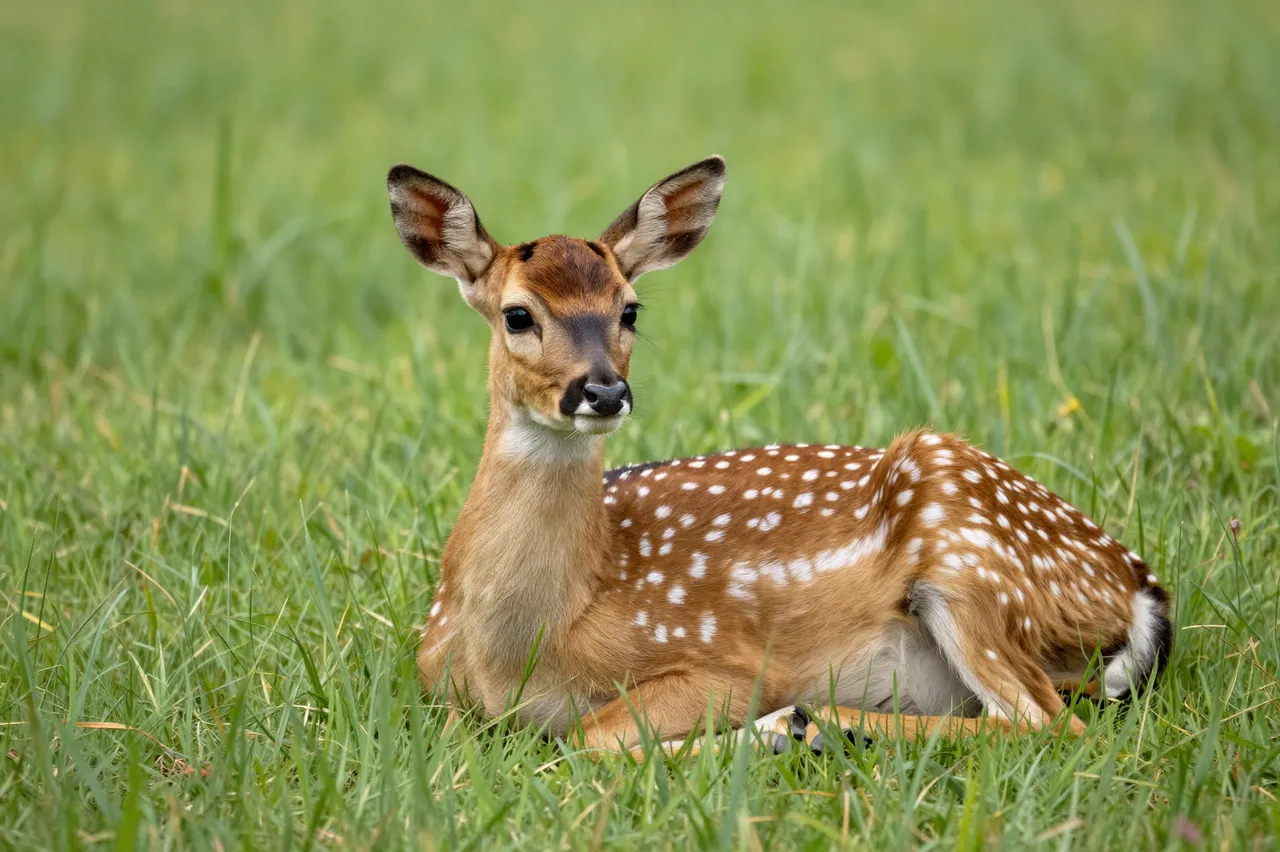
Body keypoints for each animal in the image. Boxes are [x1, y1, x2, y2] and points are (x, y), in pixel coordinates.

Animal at [387, 155, 1173, 757]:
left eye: (630, 309)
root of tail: (1140, 586)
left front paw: (768, 728)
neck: (523, 648)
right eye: (517, 315)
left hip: (965, 550)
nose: (603, 391)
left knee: (1048, 725)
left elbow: (589, 740)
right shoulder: (431, 685)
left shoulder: (724, 664)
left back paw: (822, 724)